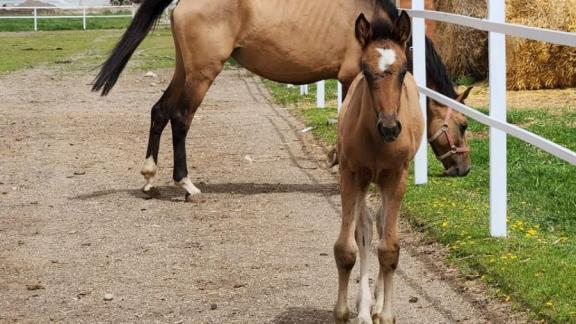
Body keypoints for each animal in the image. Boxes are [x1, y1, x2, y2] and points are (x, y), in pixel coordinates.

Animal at [93, 0, 472, 200]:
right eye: (464, 125)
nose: (463, 169)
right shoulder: (352, 78)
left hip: (185, 69)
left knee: (159, 111)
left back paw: (149, 177)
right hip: (202, 74)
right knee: (181, 118)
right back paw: (186, 183)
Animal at [332, 11, 424, 322]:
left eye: (404, 70)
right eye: (366, 69)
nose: (390, 127)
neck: (376, 141)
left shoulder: (396, 177)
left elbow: (390, 249)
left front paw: (386, 313)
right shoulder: (350, 175)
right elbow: (347, 248)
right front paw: (344, 310)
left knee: (384, 227)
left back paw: (377, 303)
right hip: (364, 182)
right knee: (366, 230)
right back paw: (364, 307)